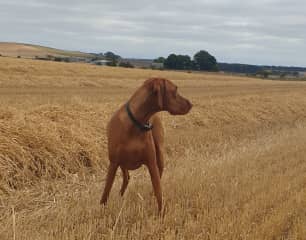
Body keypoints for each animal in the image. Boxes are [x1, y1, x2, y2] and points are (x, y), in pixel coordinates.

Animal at [100, 78, 191, 211]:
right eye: (175, 90)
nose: (191, 104)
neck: (136, 123)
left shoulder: (151, 163)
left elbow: (159, 192)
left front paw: (161, 213)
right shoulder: (114, 163)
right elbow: (106, 190)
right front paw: (101, 208)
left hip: (159, 155)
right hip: (122, 163)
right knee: (126, 177)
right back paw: (120, 196)